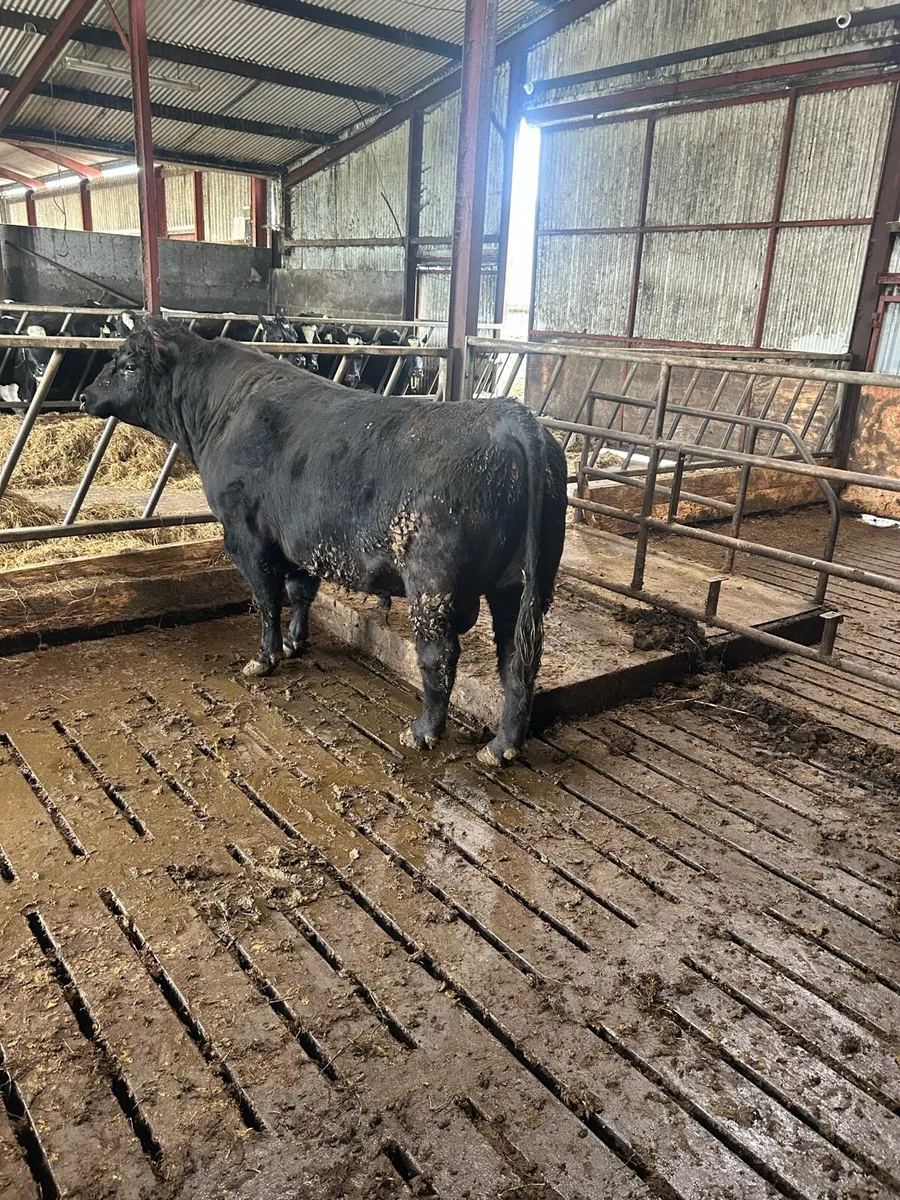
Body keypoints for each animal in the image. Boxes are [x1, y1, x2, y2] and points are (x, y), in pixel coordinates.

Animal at [80, 317, 567, 766]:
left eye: (127, 365)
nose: (84, 395)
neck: (221, 411)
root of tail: (509, 415)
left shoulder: (247, 537)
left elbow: (267, 600)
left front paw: (265, 657)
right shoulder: (297, 541)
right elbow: (300, 592)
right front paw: (295, 643)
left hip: (434, 586)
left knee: (440, 654)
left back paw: (424, 731)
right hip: (522, 585)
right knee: (517, 661)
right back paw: (502, 747)